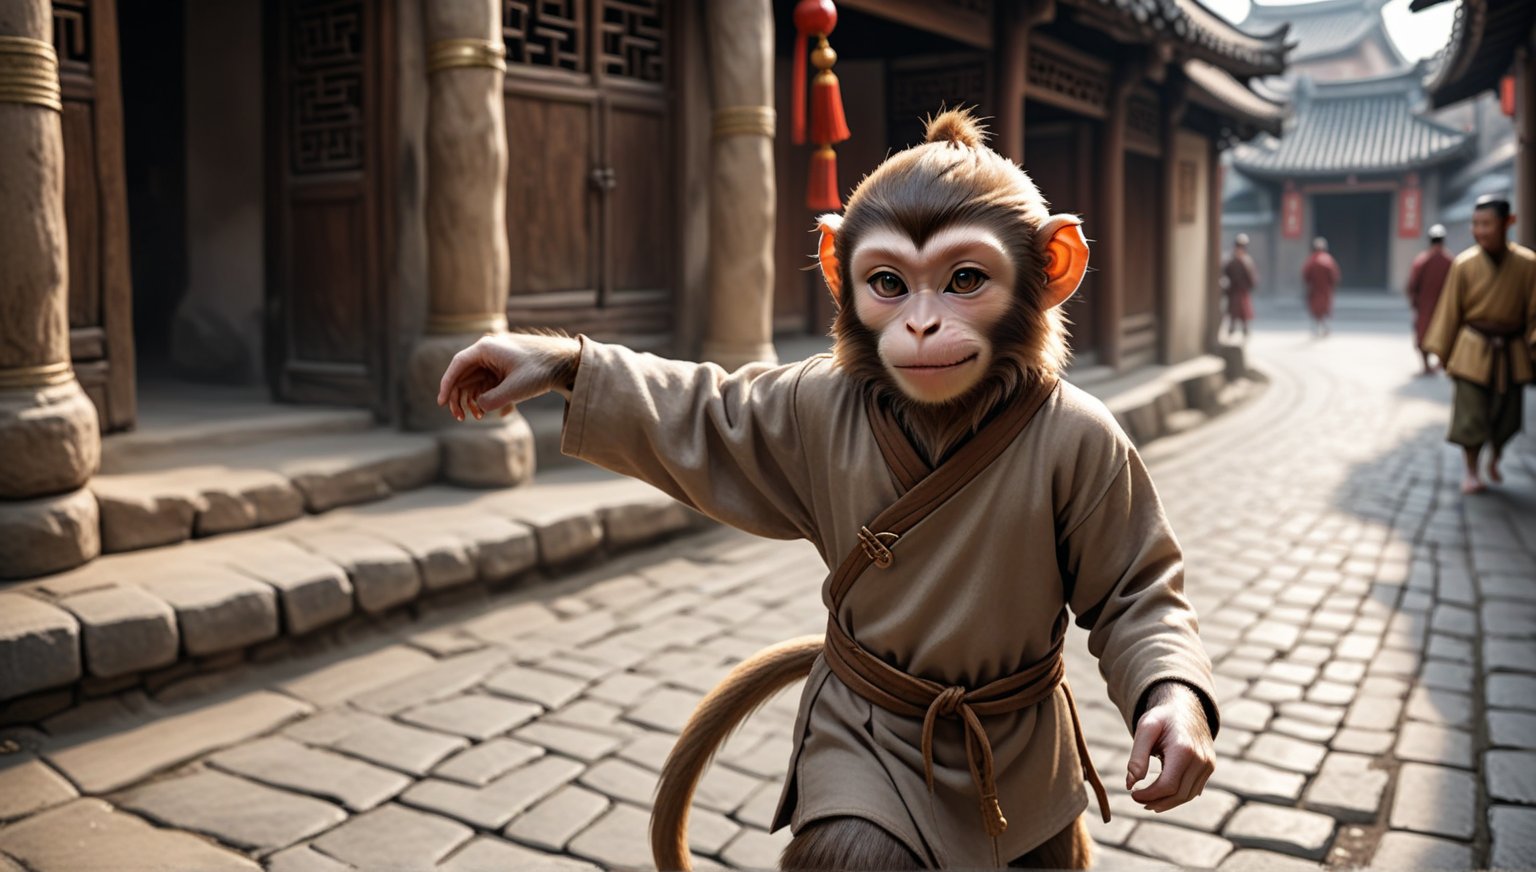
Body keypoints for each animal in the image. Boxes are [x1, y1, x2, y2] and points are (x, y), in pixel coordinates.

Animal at [439, 105, 1216, 865]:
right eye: (889, 284)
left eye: (965, 280)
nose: (922, 325)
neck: (947, 417)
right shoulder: (801, 402)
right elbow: (705, 419)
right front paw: (529, 362)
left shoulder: (1100, 450)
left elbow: (1129, 594)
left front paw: (1174, 728)